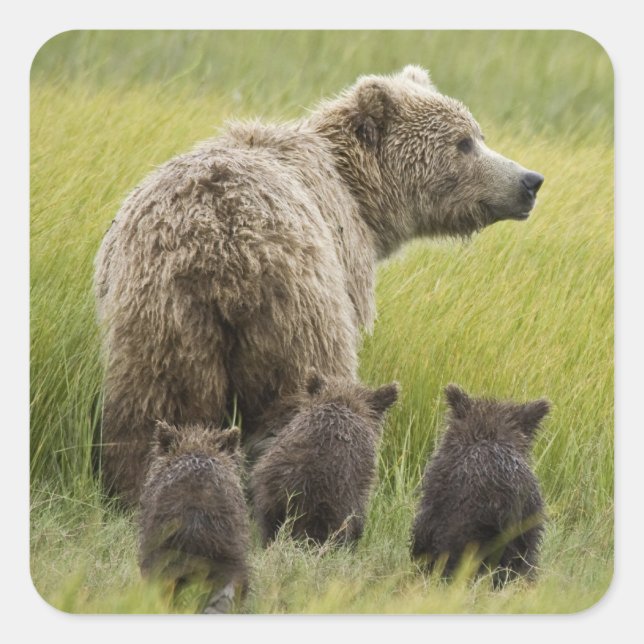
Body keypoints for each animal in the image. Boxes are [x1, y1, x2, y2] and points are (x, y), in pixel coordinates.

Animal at [94, 65, 544, 506]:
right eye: (463, 142)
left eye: (478, 135)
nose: (530, 180)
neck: (359, 195)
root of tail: (217, 247)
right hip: (296, 308)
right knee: (298, 394)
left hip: (160, 314)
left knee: (157, 403)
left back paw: (136, 487)